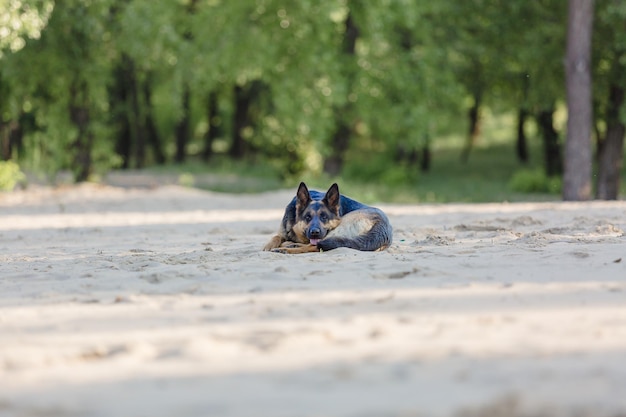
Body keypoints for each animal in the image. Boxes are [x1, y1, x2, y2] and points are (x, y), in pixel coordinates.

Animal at [262, 182, 390, 254]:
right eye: (307, 217)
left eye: (324, 217)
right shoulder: (282, 232)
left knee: (316, 246)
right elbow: (276, 237)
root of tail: (383, 225)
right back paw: (290, 245)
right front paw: (269, 245)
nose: (315, 232)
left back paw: (286, 249)